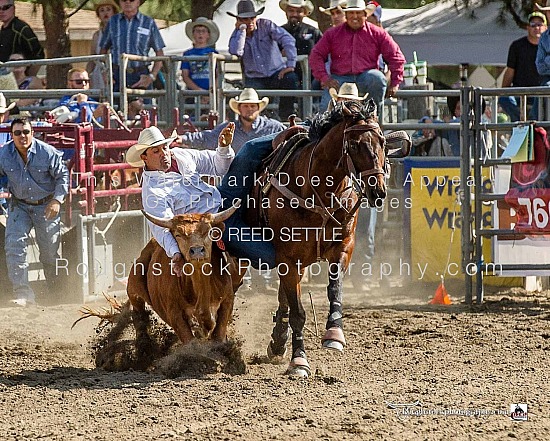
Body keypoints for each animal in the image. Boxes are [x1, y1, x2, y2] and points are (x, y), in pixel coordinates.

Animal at [248, 100, 408, 378]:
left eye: (382, 141)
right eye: (354, 145)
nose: (378, 191)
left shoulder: (343, 247)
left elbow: (335, 289)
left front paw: (334, 333)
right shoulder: (288, 258)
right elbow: (298, 313)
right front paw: (299, 361)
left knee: (283, 298)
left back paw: (278, 341)